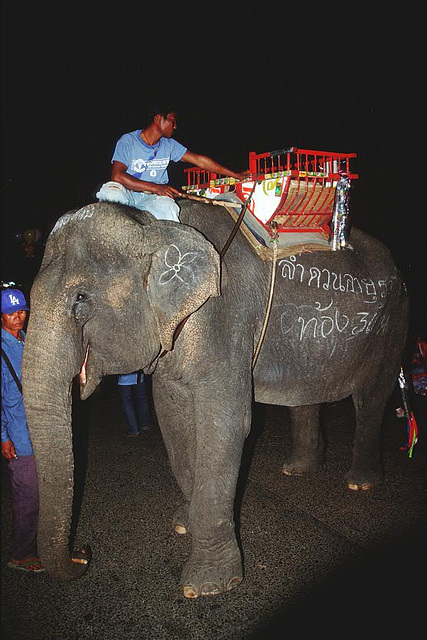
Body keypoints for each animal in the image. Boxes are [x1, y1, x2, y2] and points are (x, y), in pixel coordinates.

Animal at [22, 201, 408, 600]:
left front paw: (207, 587)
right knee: (306, 394)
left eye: (81, 298)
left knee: (371, 397)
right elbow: (172, 418)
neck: (154, 226)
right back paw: (298, 469)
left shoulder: (226, 318)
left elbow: (226, 424)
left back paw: (360, 483)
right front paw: (183, 524)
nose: (83, 553)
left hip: (390, 324)